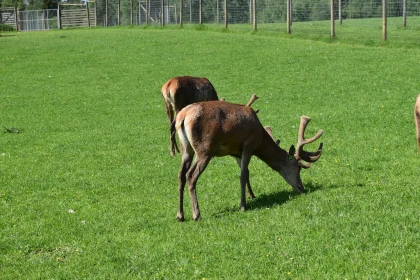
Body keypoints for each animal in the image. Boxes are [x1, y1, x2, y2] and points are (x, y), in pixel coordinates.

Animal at [176, 100, 324, 221]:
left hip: (186, 148)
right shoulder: (248, 145)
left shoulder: (236, 152)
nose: (301, 188)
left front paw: (251, 195)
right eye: (298, 167)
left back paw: (180, 215)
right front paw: (243, 206)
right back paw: (196, 214)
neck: (260, 139)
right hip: (204, 149)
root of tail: (182, 117)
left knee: (181, 174)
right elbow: (243, 175)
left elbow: (246, 173)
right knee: (191, 175)